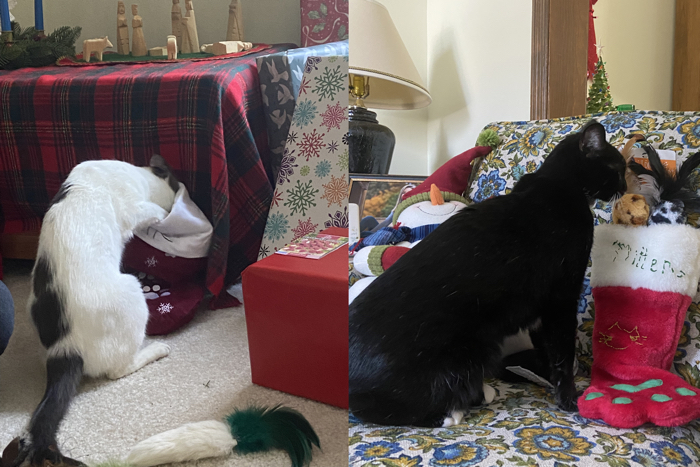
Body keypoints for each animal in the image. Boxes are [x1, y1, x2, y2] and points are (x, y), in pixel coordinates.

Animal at [11, 156, 179, 467]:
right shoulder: (136, 207)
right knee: (118, 370)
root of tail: (64, 348)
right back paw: (156, 349)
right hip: (132, 290)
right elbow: (155, 211)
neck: (136, 173)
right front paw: (166, 214)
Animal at [348, 120, 628, 428]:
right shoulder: (562, 296)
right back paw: (453, 411)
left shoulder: (542, 308)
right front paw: (568, 398)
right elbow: (562, 354)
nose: (626, 187)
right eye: (618, 168)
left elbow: (545, 348)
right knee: (381, 409)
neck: (557, 183)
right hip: (470, 351)